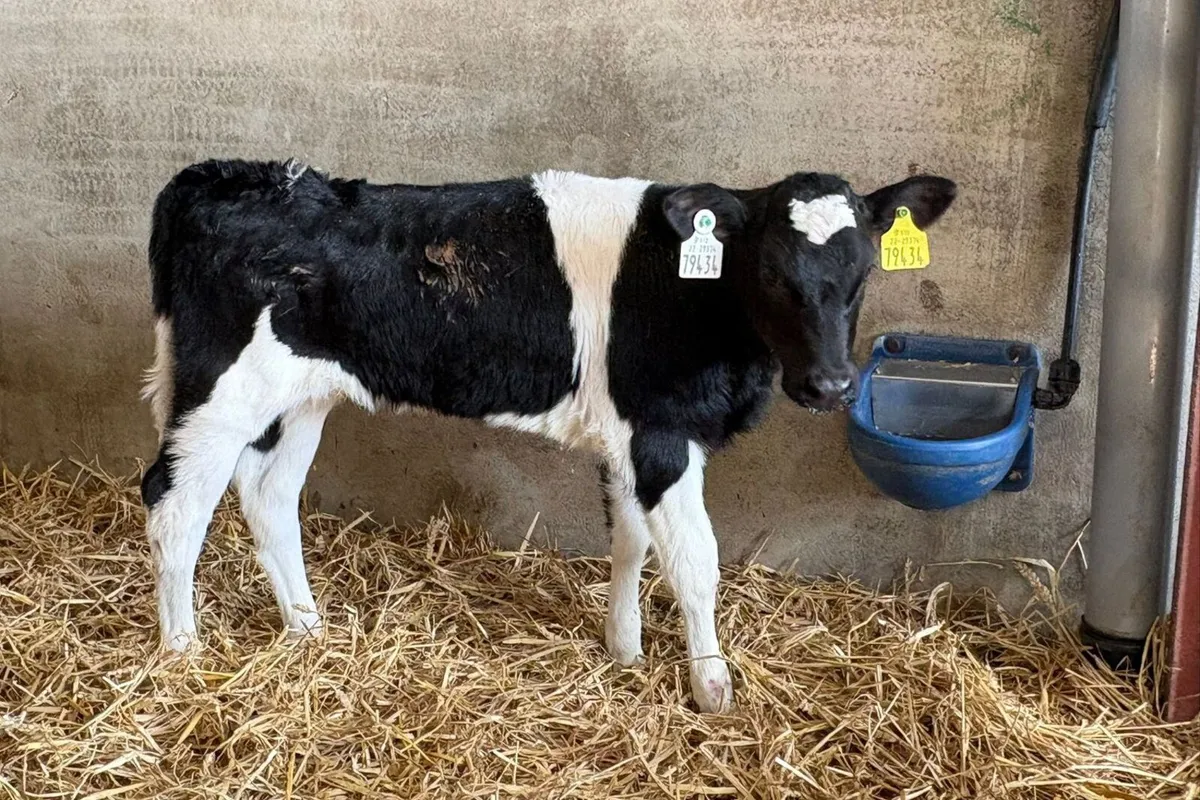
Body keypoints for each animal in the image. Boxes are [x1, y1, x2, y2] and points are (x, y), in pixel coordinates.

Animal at [139, 159, 956, 712]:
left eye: (863, 271)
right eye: (772, 272)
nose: (830, 386)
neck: (690, 290)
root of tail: (226, 175)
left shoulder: (629, 438)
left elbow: (630, 540)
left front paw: (624, 650)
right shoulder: (661, 433)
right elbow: (693, 560)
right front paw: (711, 684)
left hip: (303, 396)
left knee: (269, 496)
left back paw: (306, 629)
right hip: (218, 392)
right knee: (174, 505)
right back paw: (183, 653)